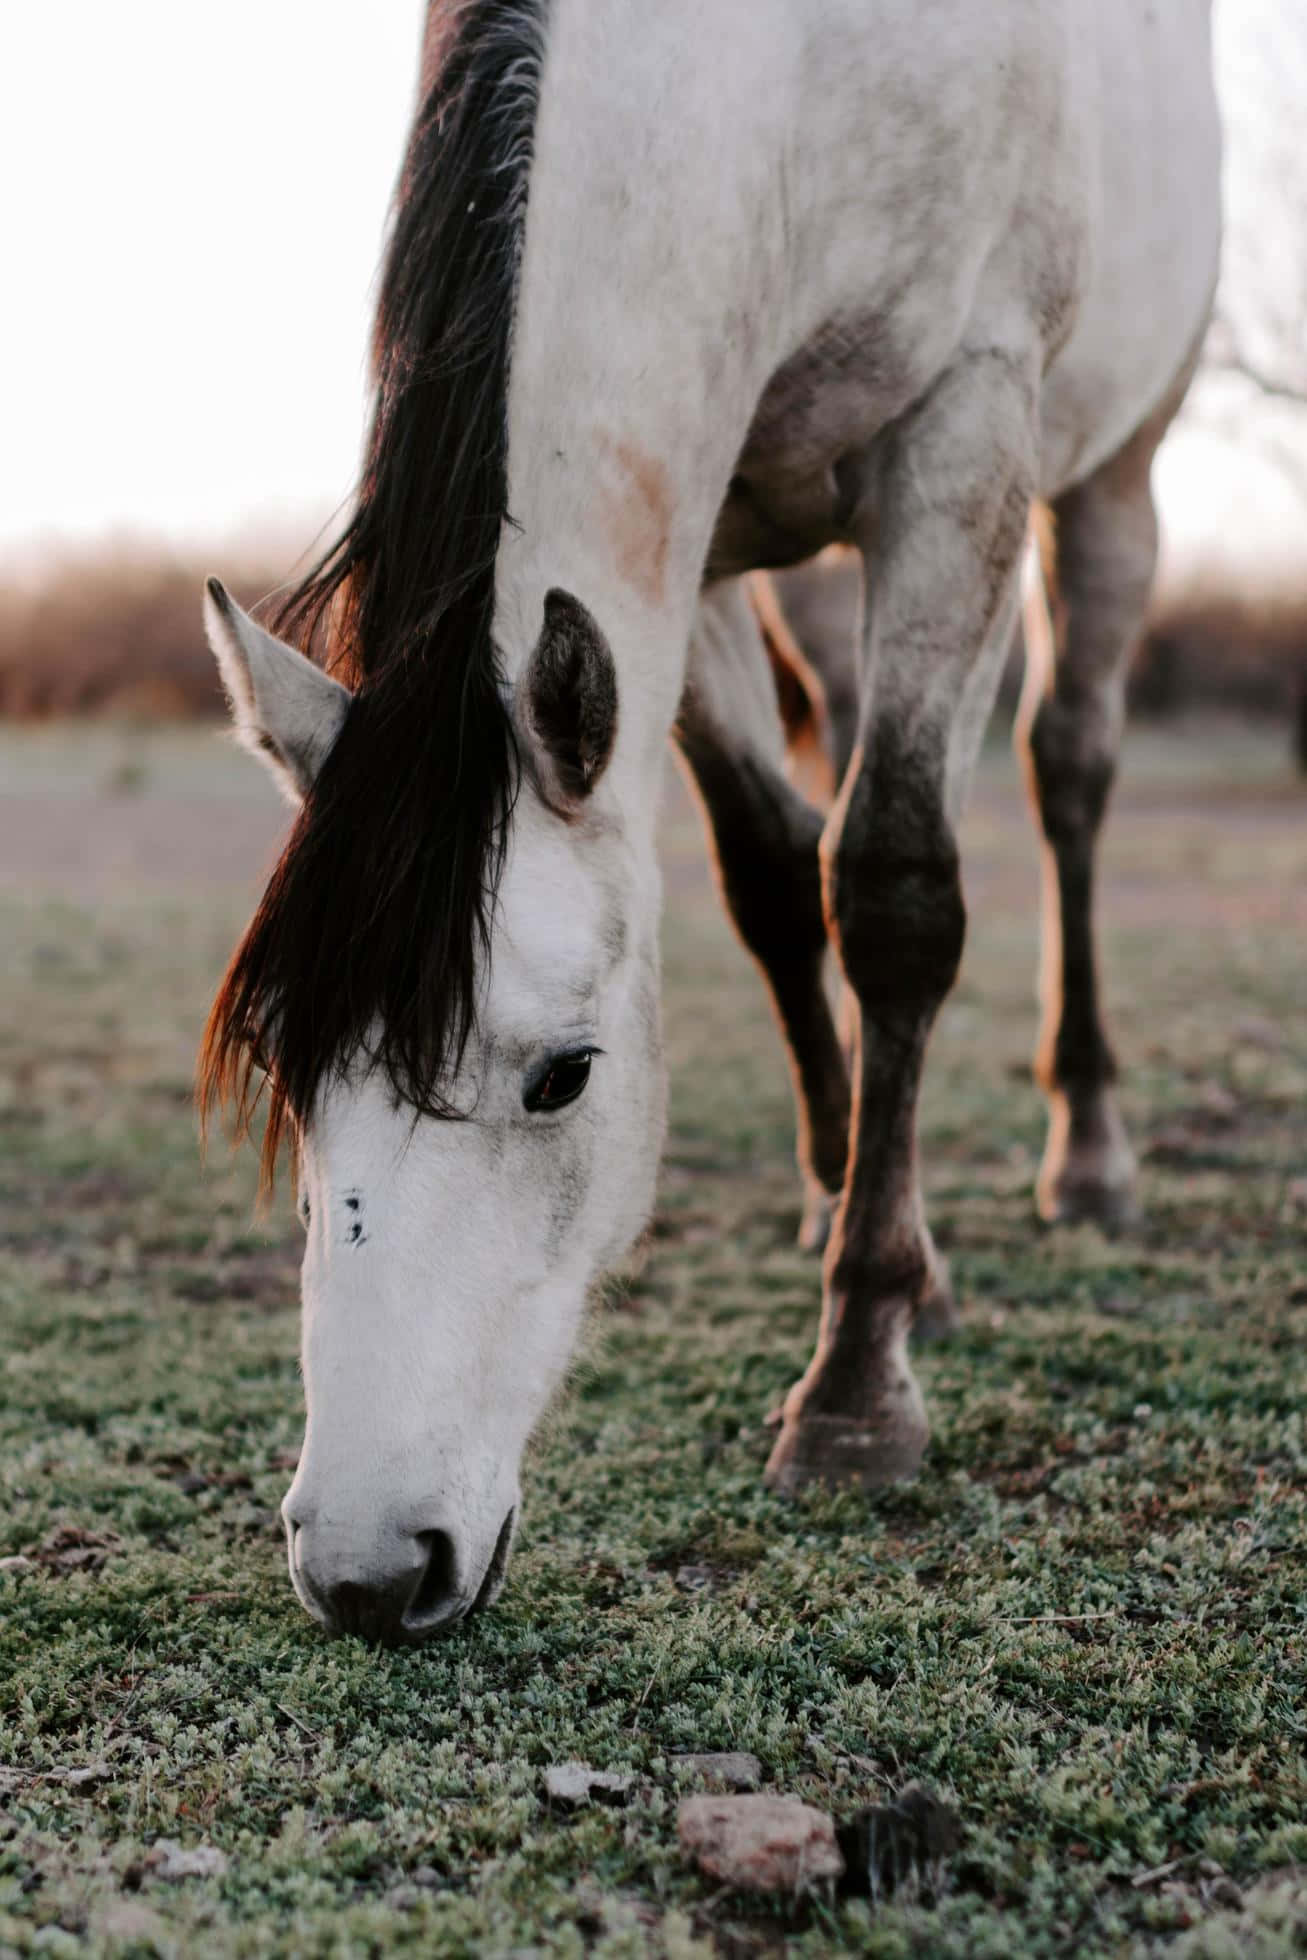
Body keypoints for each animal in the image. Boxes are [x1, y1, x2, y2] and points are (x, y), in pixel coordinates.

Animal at [201, 0, 1220, 1641]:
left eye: (562, 1076)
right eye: (289, 1068)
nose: (363, 1570)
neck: (787, 74)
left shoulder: (962, 433)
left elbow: (893, 891)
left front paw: (857, 1384)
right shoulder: (690, 541)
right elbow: (767, 877)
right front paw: (869, 1237)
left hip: (1111, 469)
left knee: (1064, 772)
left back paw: (1085, 1151)